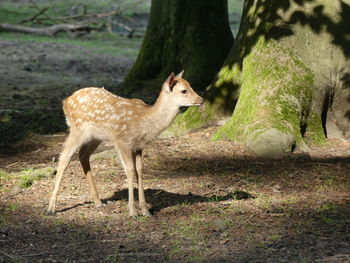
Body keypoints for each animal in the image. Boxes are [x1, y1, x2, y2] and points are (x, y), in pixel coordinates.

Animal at [47, 71, 204, 219]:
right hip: (77, 129)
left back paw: (98, 202)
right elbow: (129, 170)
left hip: (95, 136)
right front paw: (132, 212)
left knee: (83, 155)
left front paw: (145, 211)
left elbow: (139, 170)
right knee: (64, 158)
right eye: (184, 90)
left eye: (190, 85)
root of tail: (66, 101)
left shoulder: (139, 146)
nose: (201, 100)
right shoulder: (122, 141)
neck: (144, 122)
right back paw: (51, 208)